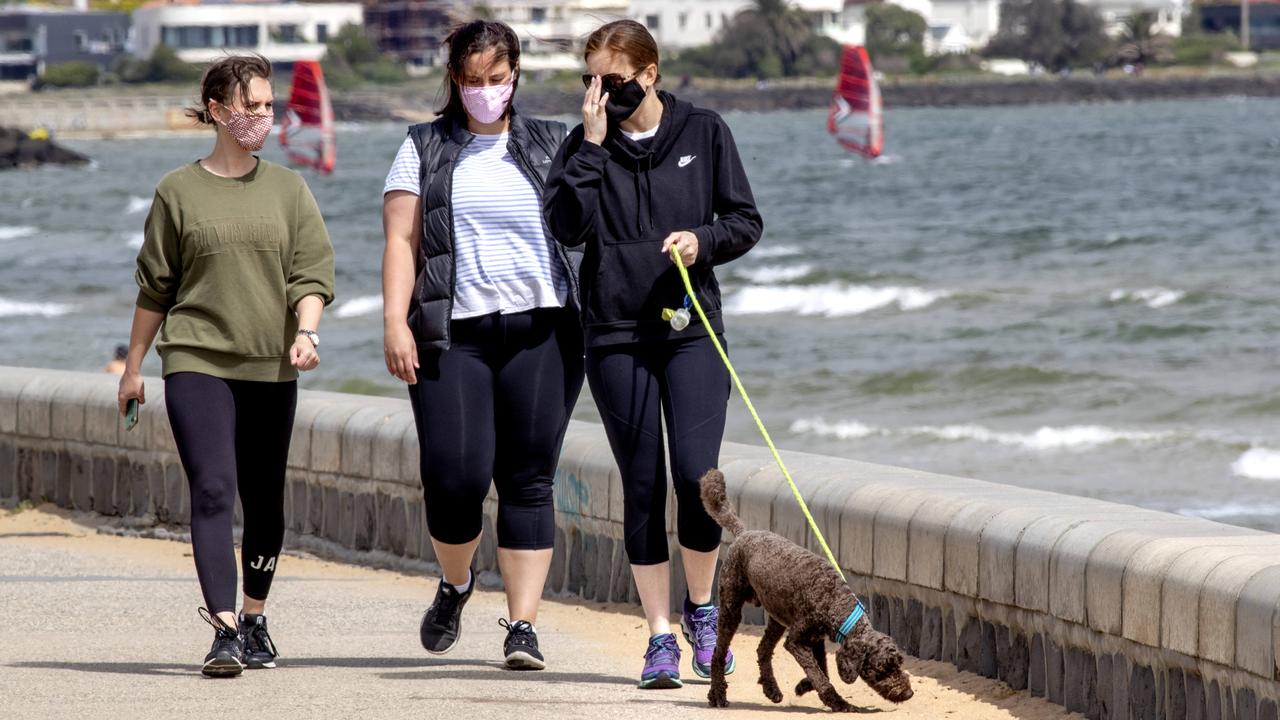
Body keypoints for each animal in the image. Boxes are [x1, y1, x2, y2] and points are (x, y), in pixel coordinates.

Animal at [701, 468, 911, 707]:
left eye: (899, 662)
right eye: (881, 669)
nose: (908, 693)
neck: (834, 601)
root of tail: (743, 533)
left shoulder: (815, 639)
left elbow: (822, 669)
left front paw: (804, 686)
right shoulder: (796, 641)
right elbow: (817, 671)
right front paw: (835, 701)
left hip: (777, 617)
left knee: (763, 649)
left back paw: (771, 688)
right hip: (731, 607)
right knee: (719, 653)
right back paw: (718, 694)